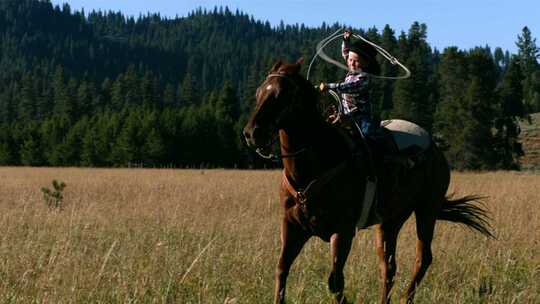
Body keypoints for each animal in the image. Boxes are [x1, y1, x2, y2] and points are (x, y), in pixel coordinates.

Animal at [243, 59, 492, 304]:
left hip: (426, 210)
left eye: (282, 94)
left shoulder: (342, 231)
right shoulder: (292, 227)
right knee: (388, 266)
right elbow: (281, 270)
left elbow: (335, 281)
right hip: (391, 220)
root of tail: (436, 149)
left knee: (422, 258)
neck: (315, 166)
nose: (251, 133)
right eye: (259, 93)